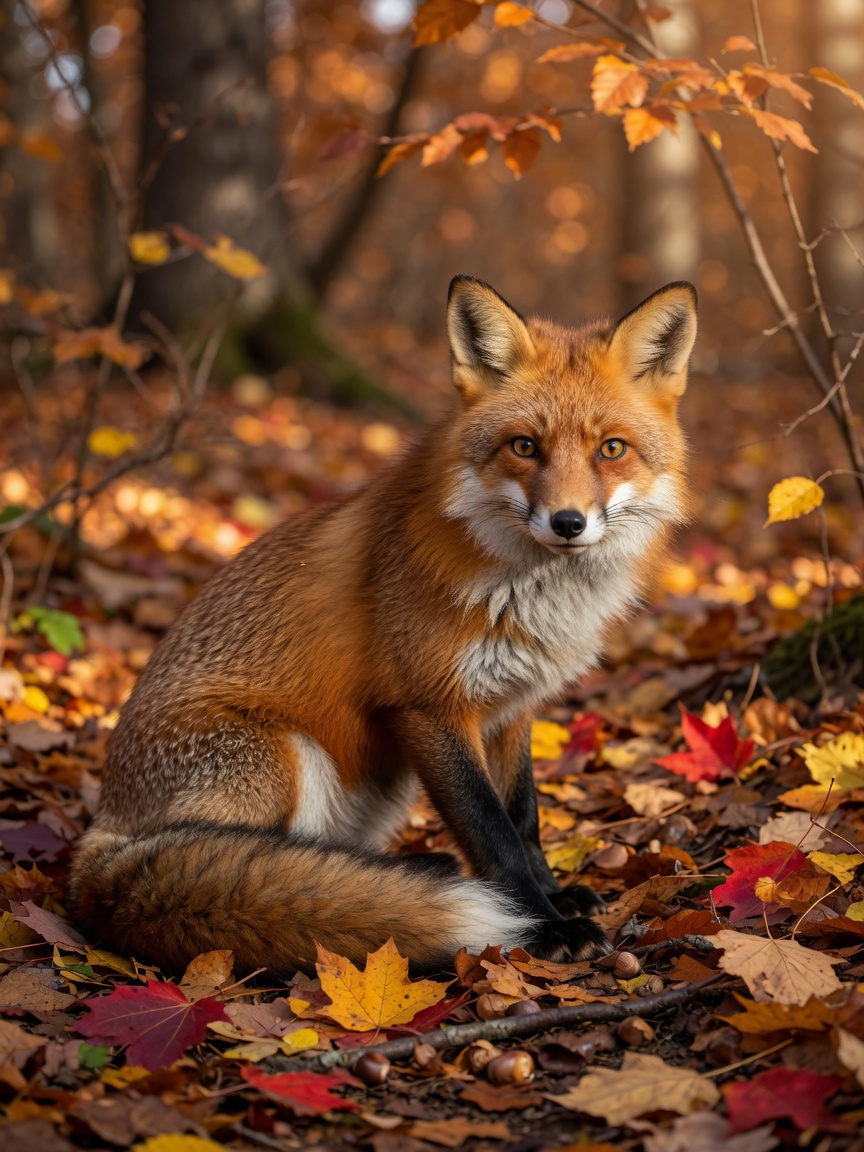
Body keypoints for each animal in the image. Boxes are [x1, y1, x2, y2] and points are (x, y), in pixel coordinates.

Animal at [70, 275, 697, 977]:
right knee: (247, 861)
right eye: (524, 446)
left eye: (611, 449)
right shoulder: (429, 705)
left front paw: (556, 896)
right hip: (285, 759)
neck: (532, 601)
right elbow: (493, 833)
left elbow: (525, 819)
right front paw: (545, 925)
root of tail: (102, 834)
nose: (567, 522)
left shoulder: (511, 707)